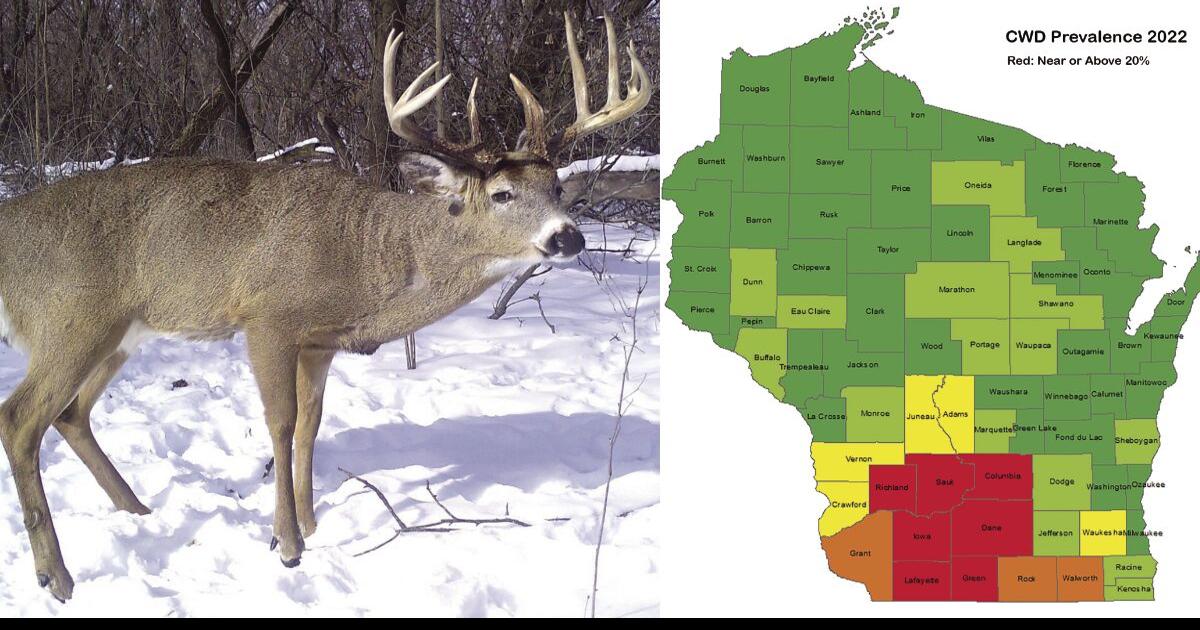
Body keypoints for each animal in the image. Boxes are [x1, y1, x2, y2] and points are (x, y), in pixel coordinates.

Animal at [0, 13, 651, 602]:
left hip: (118, 333)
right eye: (502, 193)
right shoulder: (267, 318)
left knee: (71, 414)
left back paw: (137, 511)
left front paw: (311, 525)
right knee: (21, 418)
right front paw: (287, 545)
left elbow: (311, 424)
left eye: (559, 186)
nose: (568, 237)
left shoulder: (319, 342)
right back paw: (57, 576)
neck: (365, 256)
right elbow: (281, 422)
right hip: (69, 319)